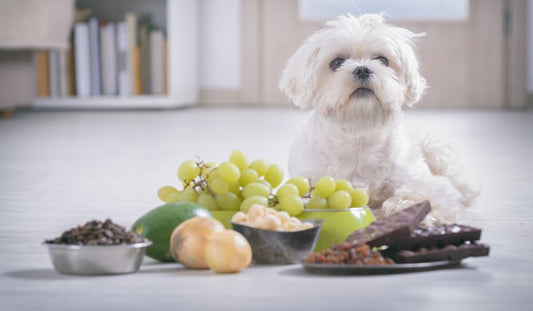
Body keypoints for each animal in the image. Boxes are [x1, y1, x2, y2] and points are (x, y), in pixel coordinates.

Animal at [280, 14, 476, 227]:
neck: (360, 131)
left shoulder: (421, 180)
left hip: (436, 151)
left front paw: (408, 209)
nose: (362, 69)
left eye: (382, 60)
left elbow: (424, 194)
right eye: (337, 63)